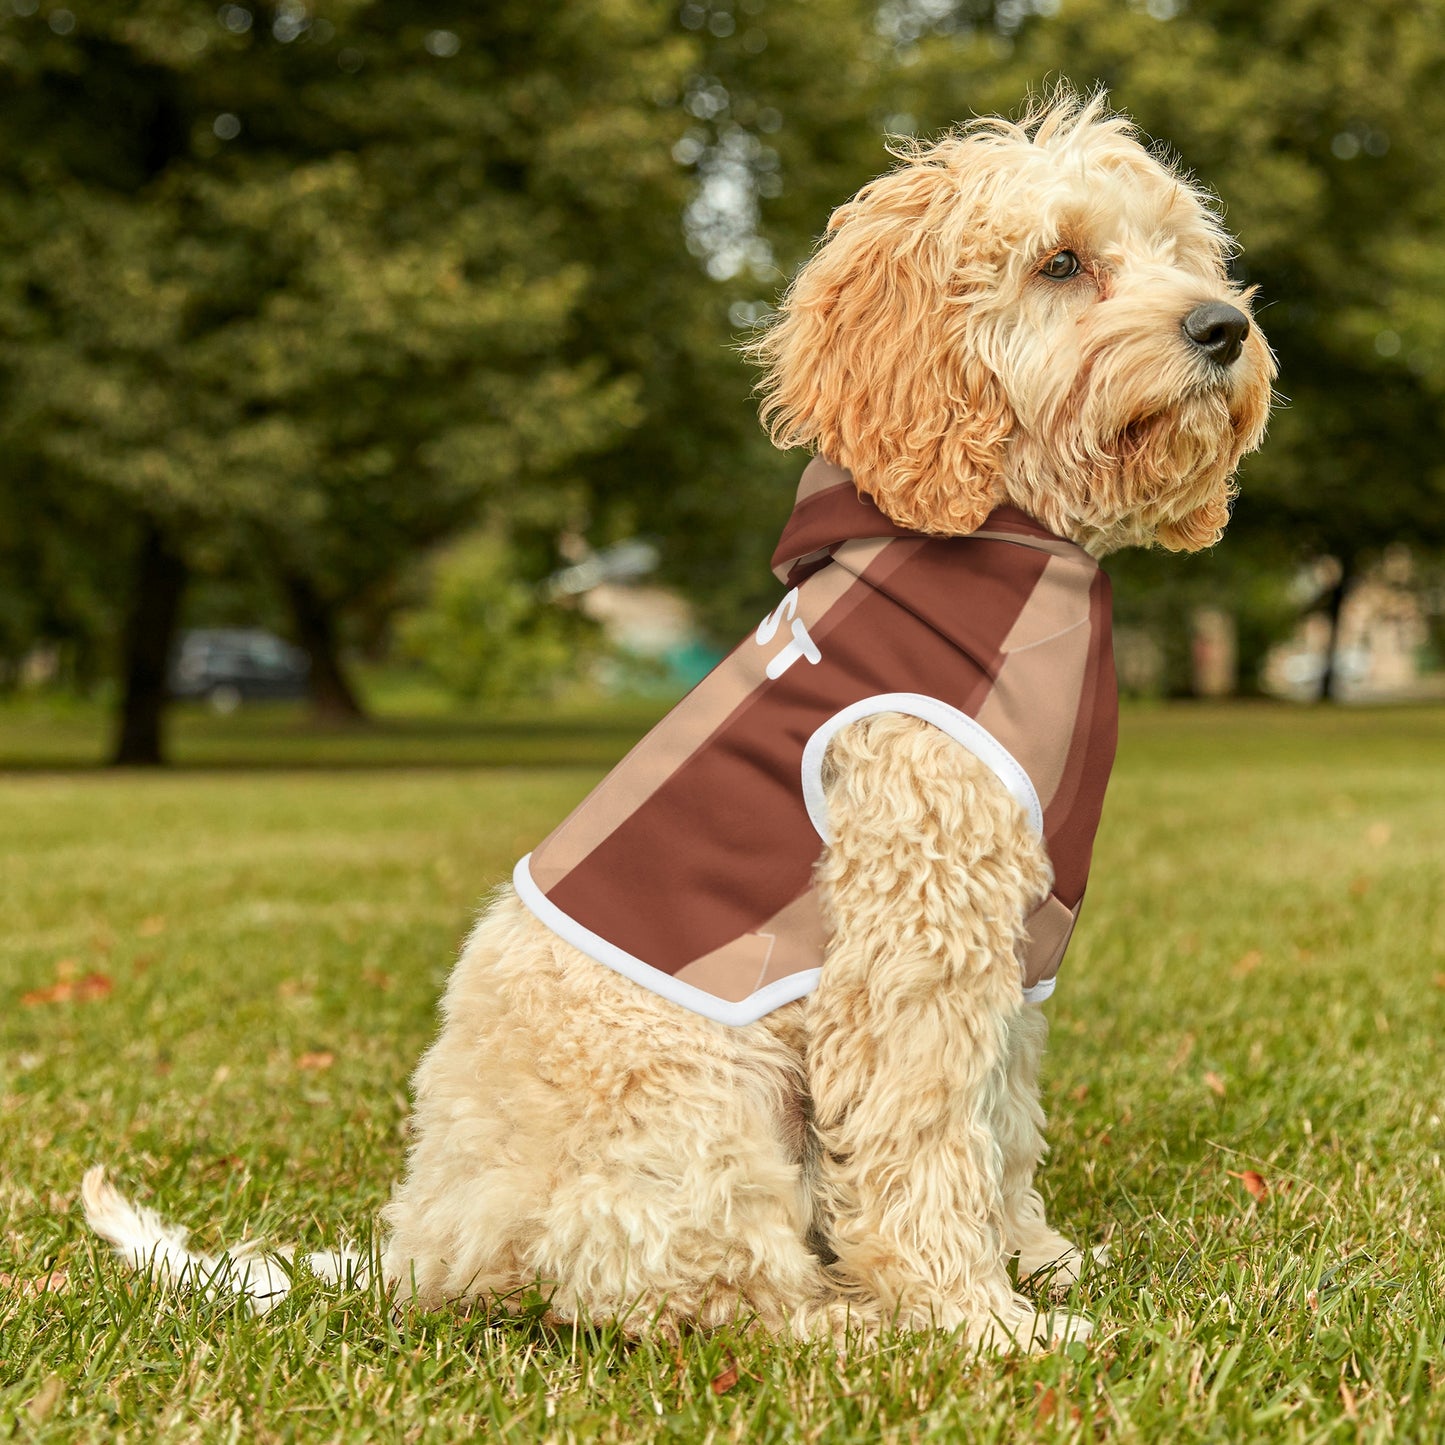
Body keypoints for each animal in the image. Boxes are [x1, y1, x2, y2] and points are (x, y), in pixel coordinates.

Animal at [84, 93, 1271, 1352]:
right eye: (1060, 262)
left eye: (1181, 252)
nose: (1222, 327)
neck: (1005, 540)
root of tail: (425, 1244)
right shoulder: (913, 934)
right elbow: (923, 1137)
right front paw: (977, 1318)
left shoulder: (1014, 936)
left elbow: (999, 1120)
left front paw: (1035, 1259)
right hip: (704, 1100)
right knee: (699, 1290)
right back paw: (851, 1322)